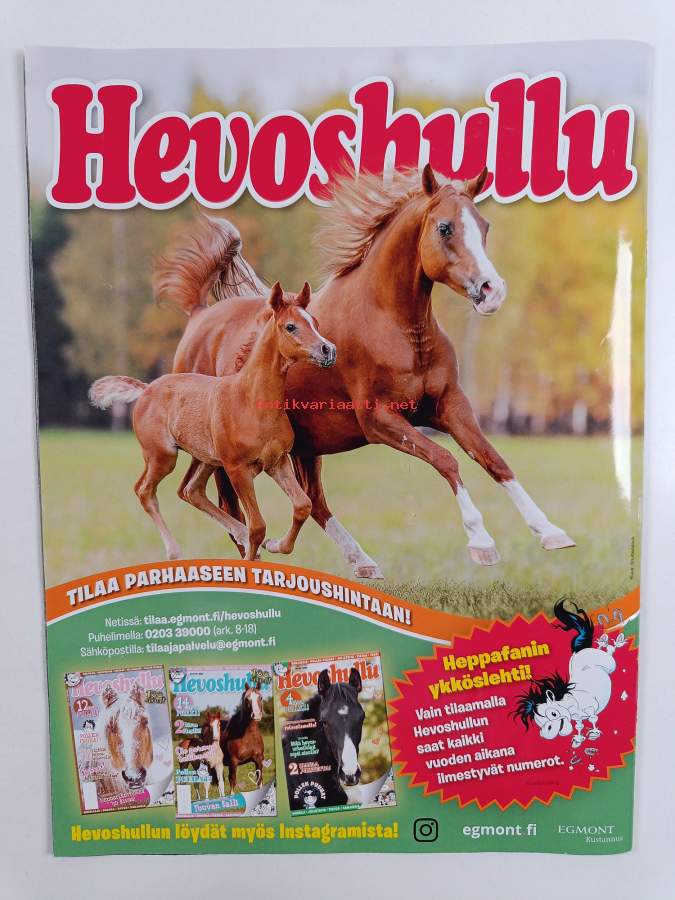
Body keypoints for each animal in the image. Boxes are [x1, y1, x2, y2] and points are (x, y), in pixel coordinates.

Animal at [90, 282, 336, 562]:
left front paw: (275, 545)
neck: (251, 399)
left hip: (206, 459)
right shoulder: (237, 468)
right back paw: (174, 551)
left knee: (191, 490)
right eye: (291, 326)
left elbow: (302, 506)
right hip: (163, 456)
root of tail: (146, 389)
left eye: (315, 322)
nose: (328, 349)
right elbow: (258, 526)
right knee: (144, 490)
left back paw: (238, 534)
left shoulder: (277, 461)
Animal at [156, 164, 574, 579]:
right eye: (445, 228)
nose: (492, 291)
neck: (393, 325)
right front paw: (481, 542)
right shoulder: (379, 420)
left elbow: (493, 459)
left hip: (305, 446)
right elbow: (447, 459)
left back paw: (362, 561)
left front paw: (551, 532)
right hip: (228, 456)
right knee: (231, 509)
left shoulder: (449, 405)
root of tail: (198, 316)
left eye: (484, 226)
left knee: (313, 502)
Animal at [514, 599, 626, 748]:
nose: (546, 734)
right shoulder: (577, 717)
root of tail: (579, 650)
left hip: (608, 663)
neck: (571, 702)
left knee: (610, 653)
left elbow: (593, 718)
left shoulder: (591, 707)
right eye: (539, 722)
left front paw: (594, 734)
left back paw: (608, 641)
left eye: (553, 714)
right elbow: (579, 726)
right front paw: (577, 740)